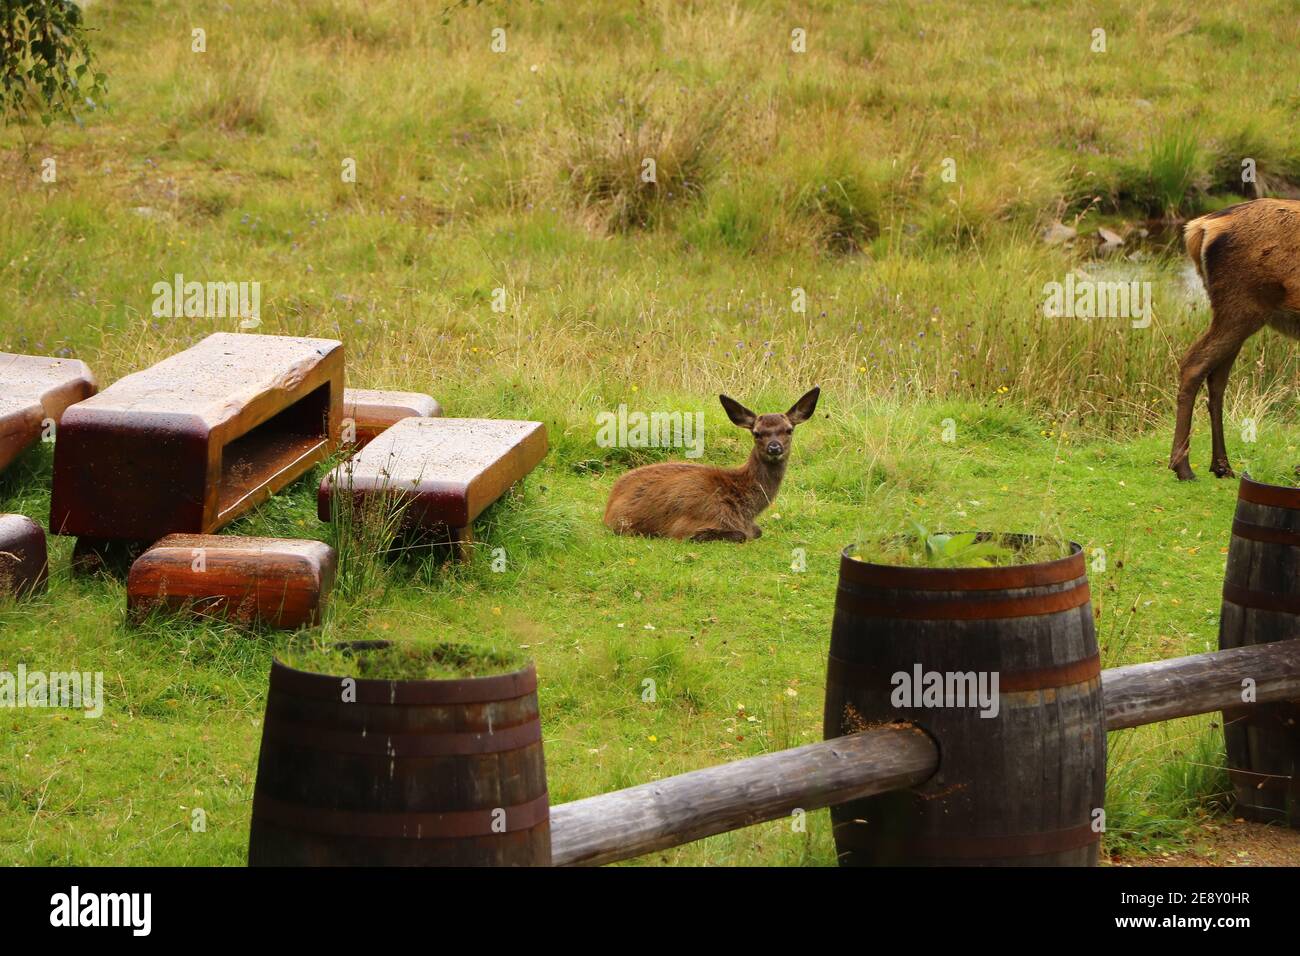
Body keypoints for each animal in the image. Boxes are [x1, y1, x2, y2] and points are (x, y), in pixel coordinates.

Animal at [603, 387, 820, 542]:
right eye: (757, 433)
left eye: (789, 430)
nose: (774, 447)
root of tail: (610, 501)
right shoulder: (686, 525)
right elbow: (741, 535)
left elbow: (758, 531)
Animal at [1170, 198, 1300, 481]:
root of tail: (1201, 226)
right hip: (1241, 307)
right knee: (1194, 364)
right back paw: (1183, 467)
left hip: (1235, 312)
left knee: (1216, 379)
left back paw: (1221, 465)